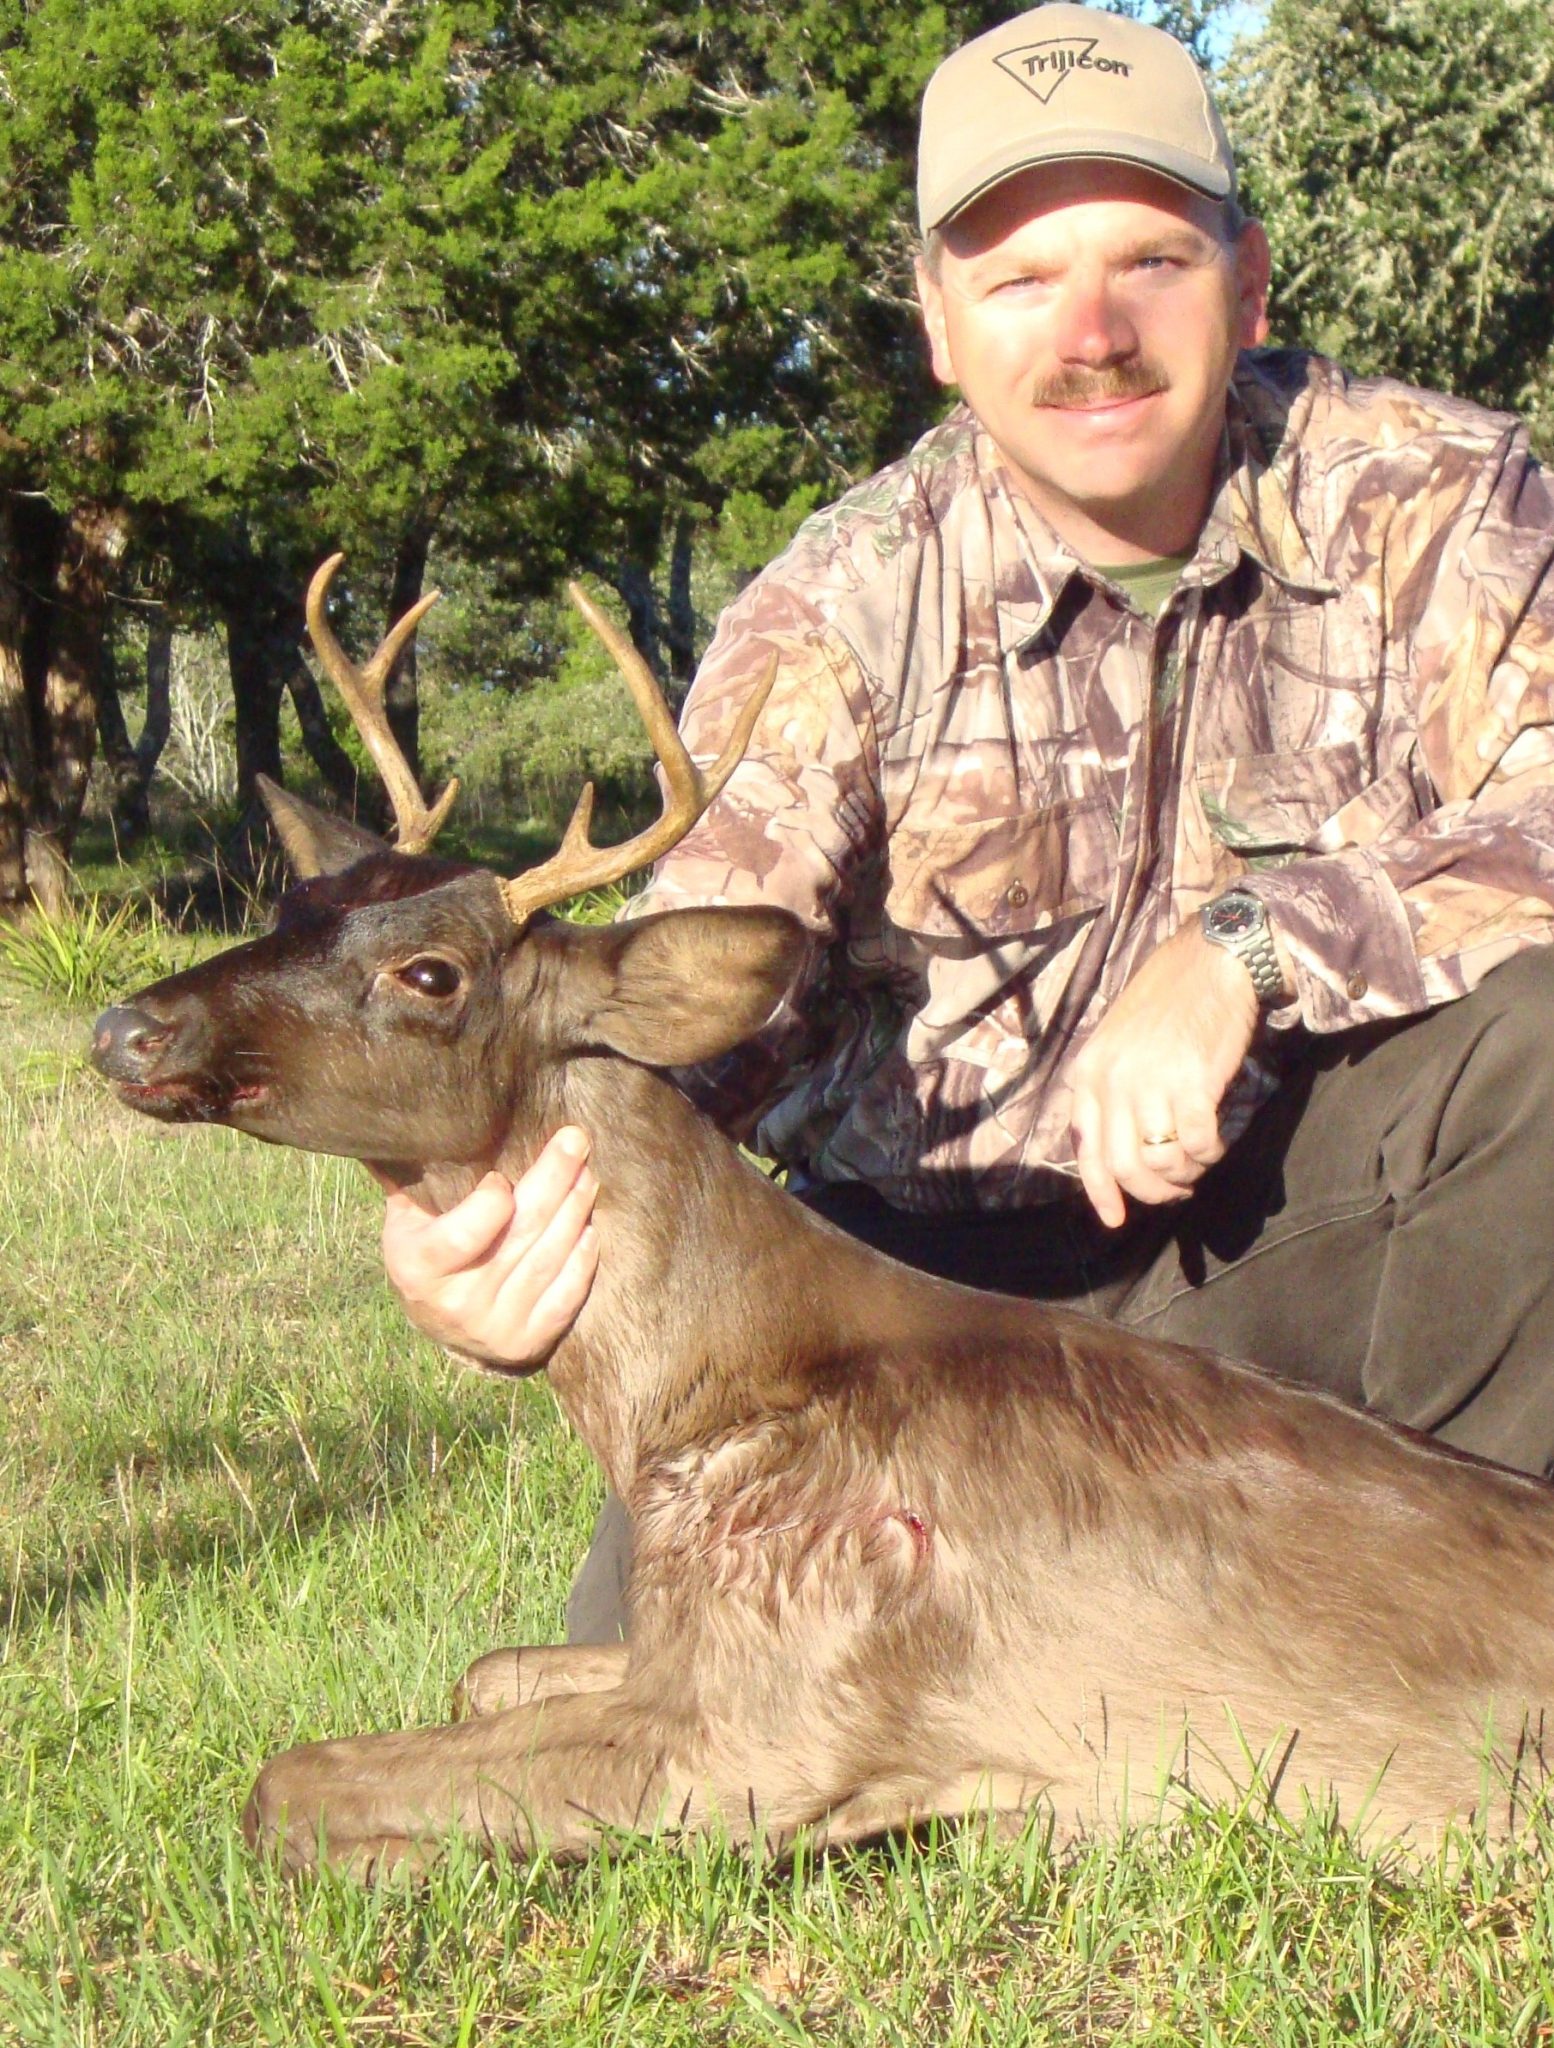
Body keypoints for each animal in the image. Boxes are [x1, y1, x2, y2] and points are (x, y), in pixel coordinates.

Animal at [92, 554, 1554, 1880]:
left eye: (432, 972)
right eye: (296, 907)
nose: (126, 1029)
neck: (682, 1400)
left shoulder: (764, 1717)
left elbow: (290, 1781)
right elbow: (478, 1669)